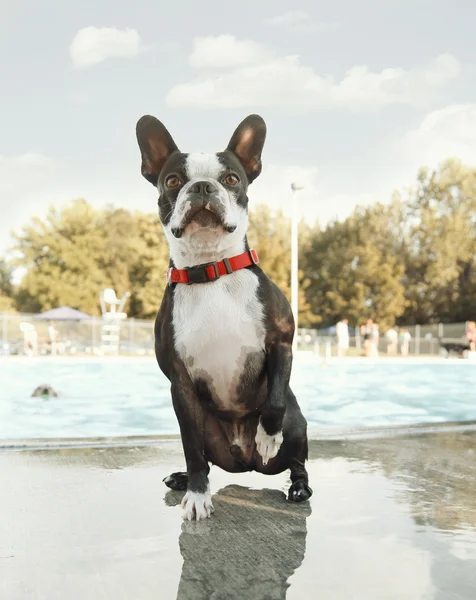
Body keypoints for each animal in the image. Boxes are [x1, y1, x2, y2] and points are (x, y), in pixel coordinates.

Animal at [136, 115, 312, 516]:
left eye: (231, 178)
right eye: (173, 181)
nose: (202, 186)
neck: (211, 268)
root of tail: (245, 463)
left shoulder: (281, 342)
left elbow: (274, 401)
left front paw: (267, 435)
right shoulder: (180, 384)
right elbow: (191, 449)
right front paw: (198, 496)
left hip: (298, 425)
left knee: (298, 460)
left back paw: (297, 485)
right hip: (205, 426)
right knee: (201, 457)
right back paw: (183, 478)